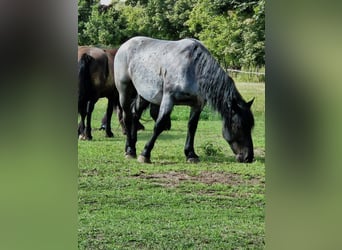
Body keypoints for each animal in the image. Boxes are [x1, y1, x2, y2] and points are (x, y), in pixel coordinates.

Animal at [115, 36, 254, 163]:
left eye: (251, 126)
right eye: (238, 126)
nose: (248, 157)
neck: (193, 67)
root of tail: (125, 45)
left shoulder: (197, 104)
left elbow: (192, 127)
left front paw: (191, 154)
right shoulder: (169, 99)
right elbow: (159, 125)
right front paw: (145, 154)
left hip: (144, 94)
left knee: (135, 114)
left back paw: (131, 147)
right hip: (124, 91)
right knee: (127, 117)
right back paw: (130, 151)